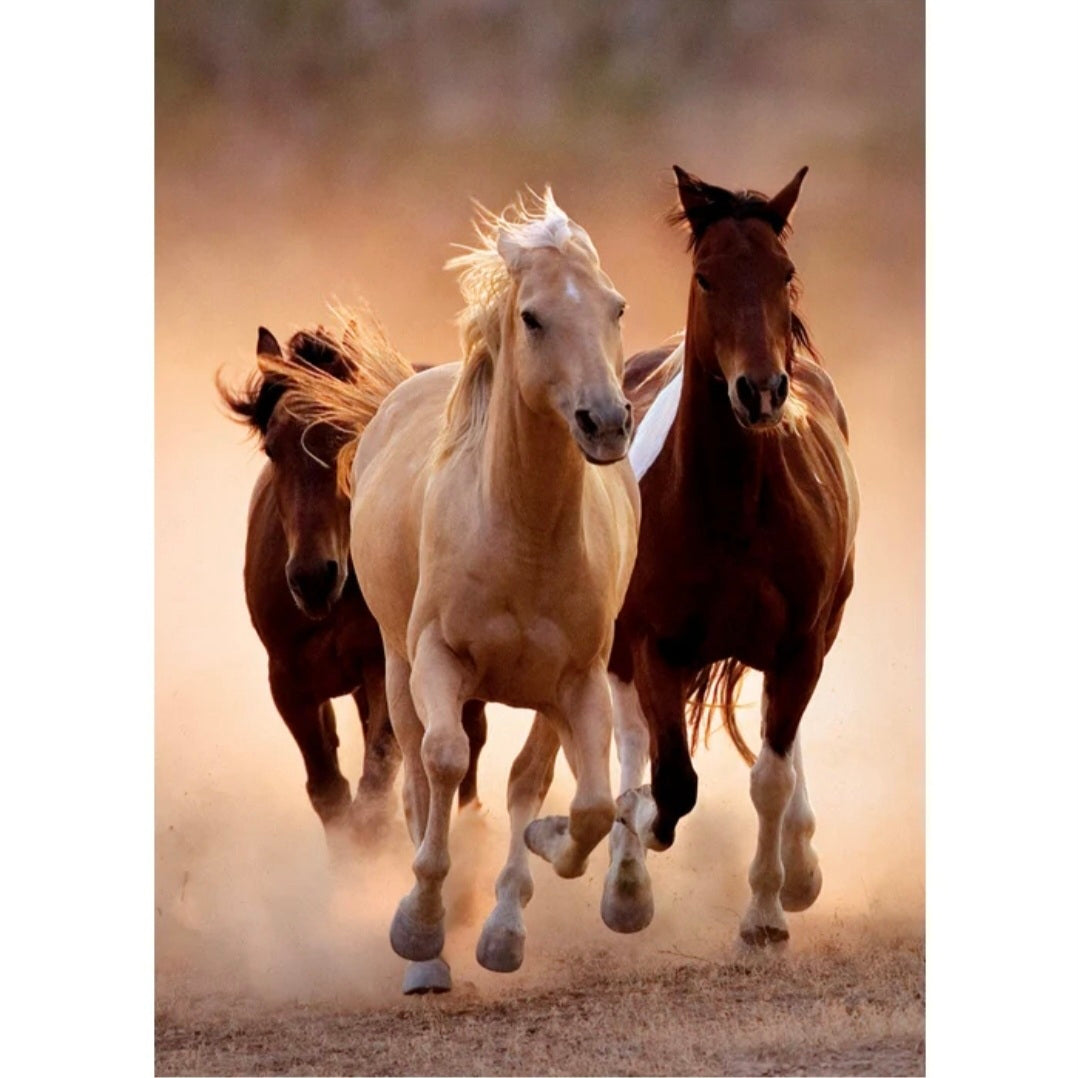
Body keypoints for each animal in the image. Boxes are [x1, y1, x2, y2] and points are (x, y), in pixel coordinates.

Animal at [216, 326, 488, 866]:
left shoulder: (382, 669)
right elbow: (330, 793)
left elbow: (374, 791)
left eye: (348, 437)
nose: (312, 578)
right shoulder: (289, 682)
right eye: (273, 449)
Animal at [268, 190, 640, 993]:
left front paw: (535, 876)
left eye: (616, 306)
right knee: (417, 775)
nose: (605, 421)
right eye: (532, 317)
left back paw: (502, 923)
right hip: (396, 669)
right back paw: (429, 954)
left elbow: (586, 805)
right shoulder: (437, 660)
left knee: (528, 779)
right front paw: (419, 925)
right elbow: (441, 764)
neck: (520, 534)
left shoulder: (579, 680)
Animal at [602, 166, 860, 948]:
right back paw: (625, 881)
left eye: (785, 272)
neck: (733, 508)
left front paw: (768, 911)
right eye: (706, 276)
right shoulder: (654, 645)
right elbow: (671, 780)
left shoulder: (800, 644)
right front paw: (637, 833)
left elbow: (771, 775)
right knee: (630, 735)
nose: (762, 390)